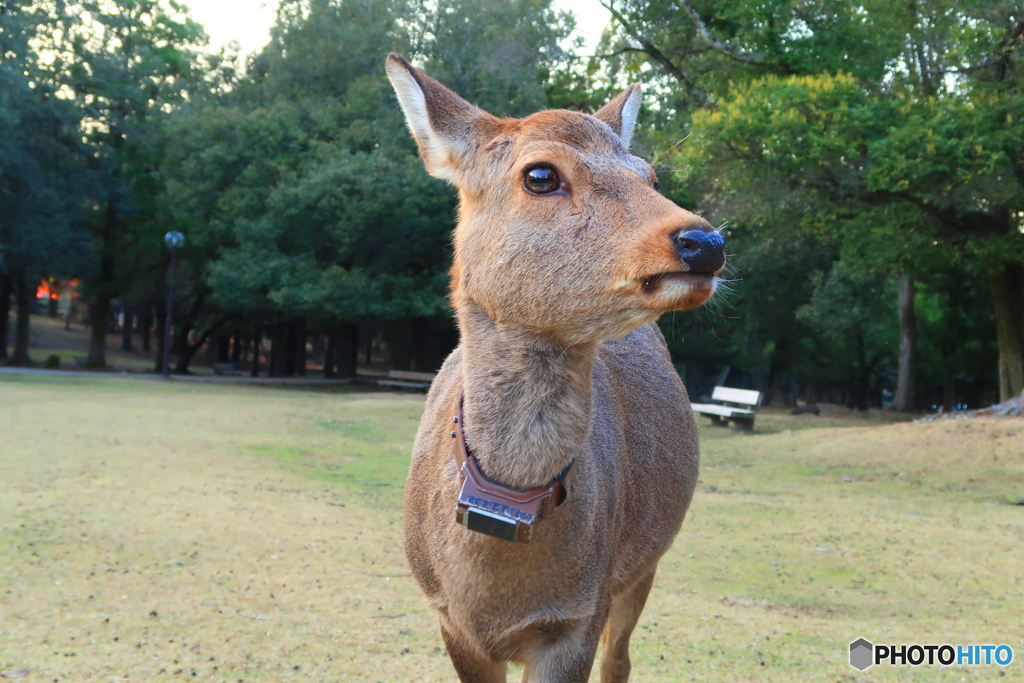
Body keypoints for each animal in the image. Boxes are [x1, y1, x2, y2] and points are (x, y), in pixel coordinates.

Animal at [384, 53, 726, 682]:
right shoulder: (448, 618)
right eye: (540, 175)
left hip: (643, 563)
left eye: (650, 177)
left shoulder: (579, 614)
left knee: (622, 658)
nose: (704, 241)